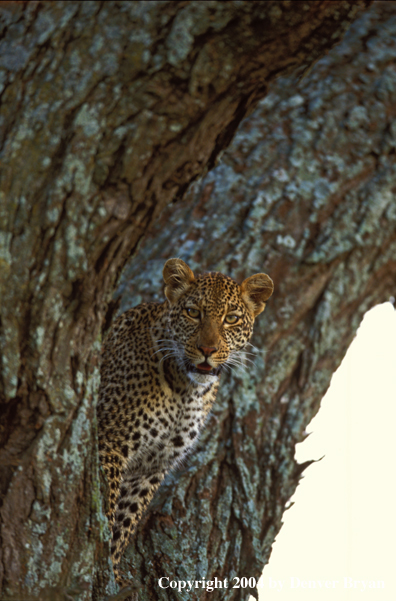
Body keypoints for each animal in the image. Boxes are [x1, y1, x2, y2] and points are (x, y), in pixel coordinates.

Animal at [97, 258, 274, 584]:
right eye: (193, 313)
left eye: (231, 319)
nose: (208, 350)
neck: (185, 390)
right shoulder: (110, 442)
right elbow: (108, 506)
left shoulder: (152, 467)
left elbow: (124, 521)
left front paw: (112, 572)